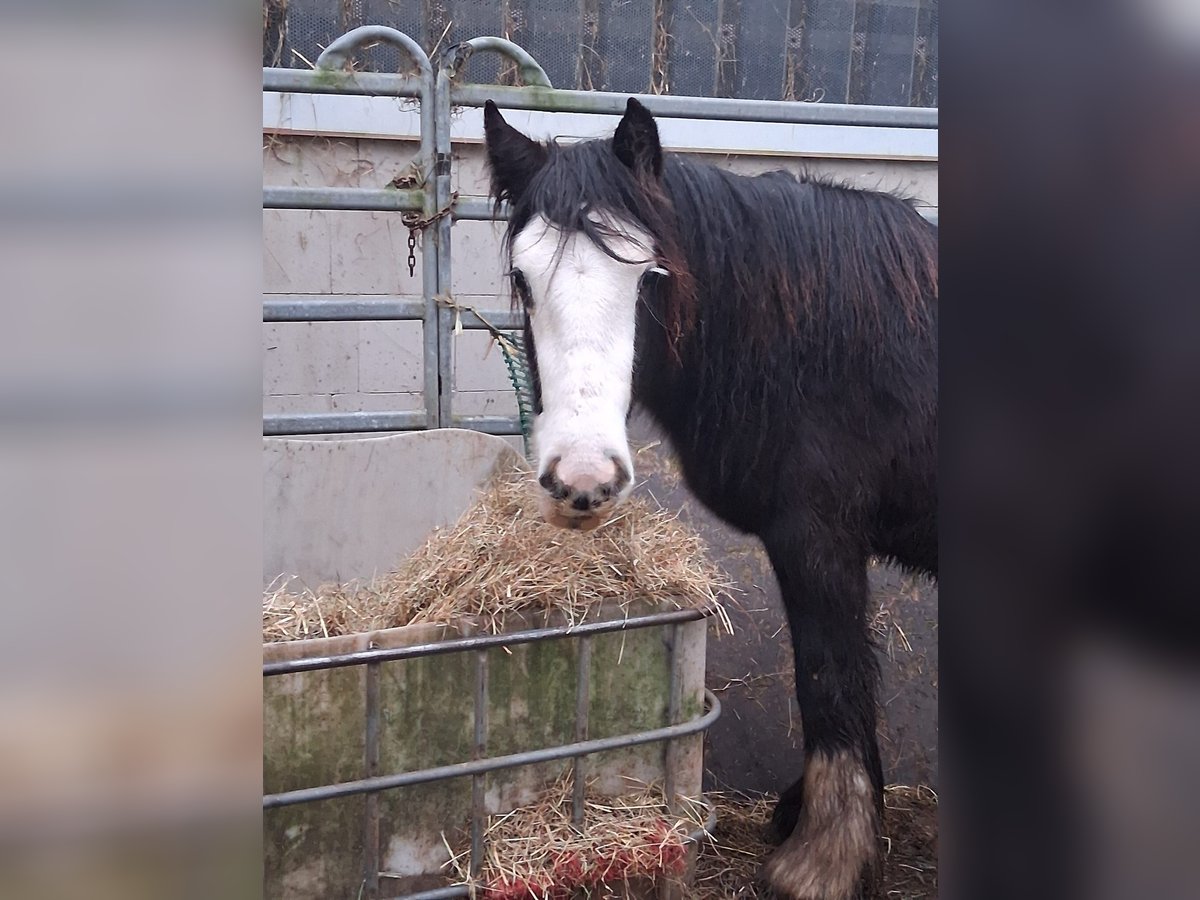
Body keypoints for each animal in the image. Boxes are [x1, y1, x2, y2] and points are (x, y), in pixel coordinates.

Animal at [482, 98, 931, 900]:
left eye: (648, 276)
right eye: (523, 279)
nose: (583, 480)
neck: (823, 343)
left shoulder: (817, 538)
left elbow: (829, 677)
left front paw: (823, 861)